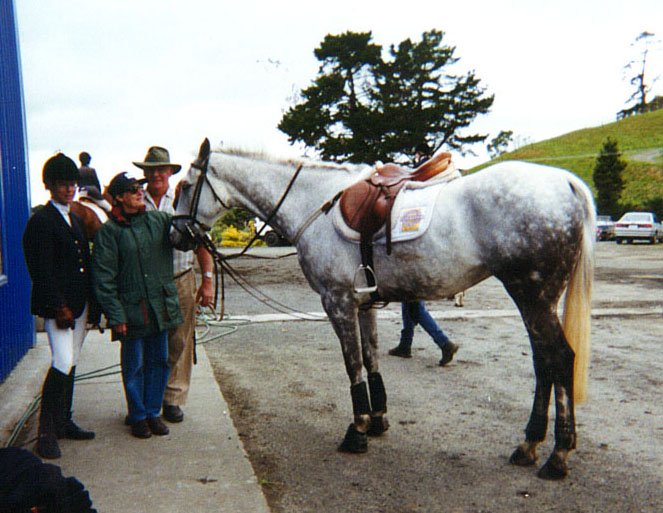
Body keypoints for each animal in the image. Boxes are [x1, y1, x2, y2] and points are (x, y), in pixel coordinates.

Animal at [171, 138, 596, 478]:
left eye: (187, 186)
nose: (176, 236)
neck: (314, 203)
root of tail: (566, 183)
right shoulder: (364, 303)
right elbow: (371, 357)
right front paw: (378, 420)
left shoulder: (337, 301)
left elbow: (352, 364)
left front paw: (357, 429)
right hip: (535, 299)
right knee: (545, 363)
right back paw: (530, 445)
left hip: (532, 295)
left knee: (558, 359)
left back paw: (556, 454)